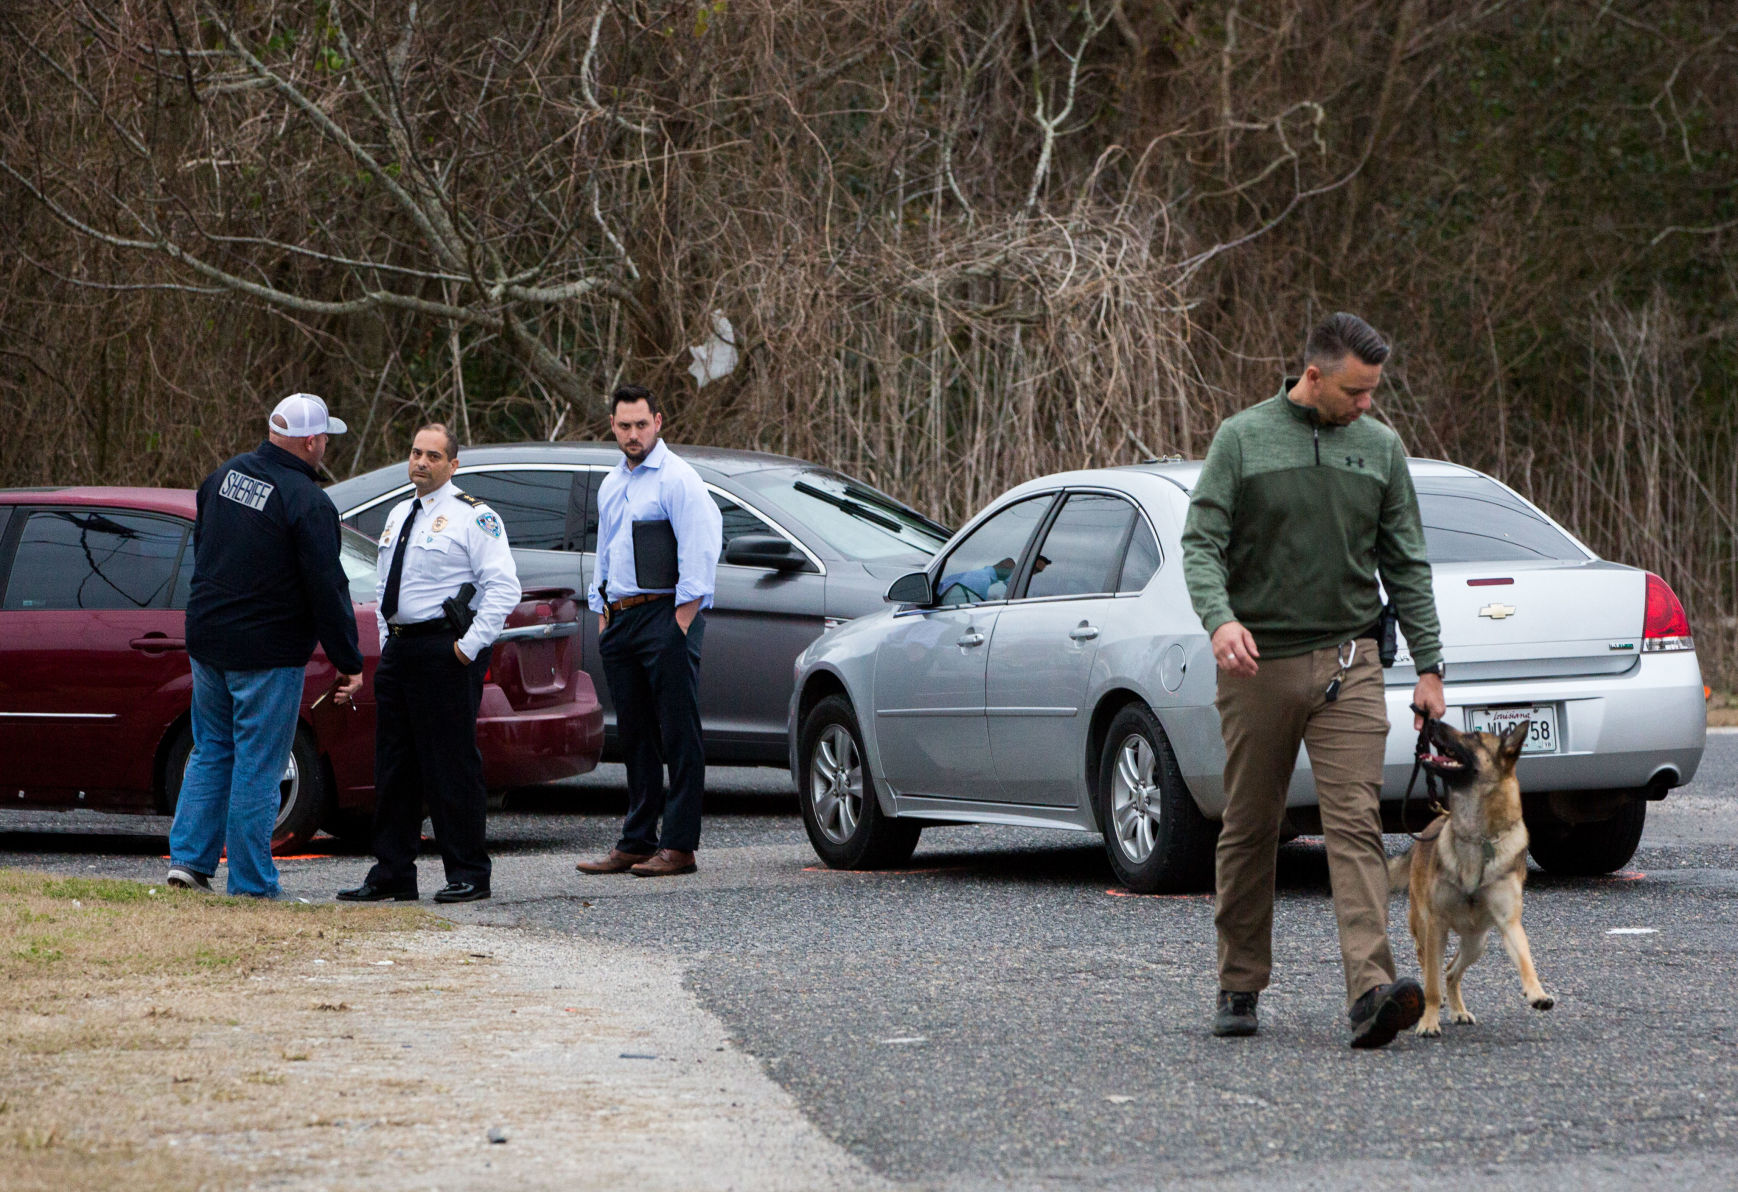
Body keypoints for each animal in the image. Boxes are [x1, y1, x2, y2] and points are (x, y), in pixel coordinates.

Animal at [1390, 719, 1557, 1035]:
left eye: (1474, 736)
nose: (1431, 721)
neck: (1478, 838)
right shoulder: (1437, 924)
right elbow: (1431, 983)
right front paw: (1428, 1022)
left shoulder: (1509, 923)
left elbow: (1526, 961)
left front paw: (1537, 992)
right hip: (1424, 926)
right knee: (1428, 964)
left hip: (1476, 943)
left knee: (1451, 971)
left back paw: (1458, 1009)